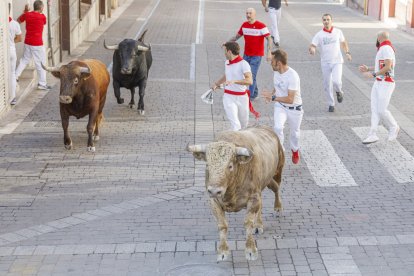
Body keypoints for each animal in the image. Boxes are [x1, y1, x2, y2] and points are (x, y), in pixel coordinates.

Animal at [188, 125, 284, 260]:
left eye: (230, 166)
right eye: (207, 165)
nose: (214, 191)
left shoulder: (253, 198)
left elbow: (248, 223)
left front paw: (250, 250)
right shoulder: (214, 201)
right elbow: (222, 225)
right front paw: (222, 251)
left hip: (277, 172)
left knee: (277, 188)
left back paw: (278, 208)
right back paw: (258, 224)